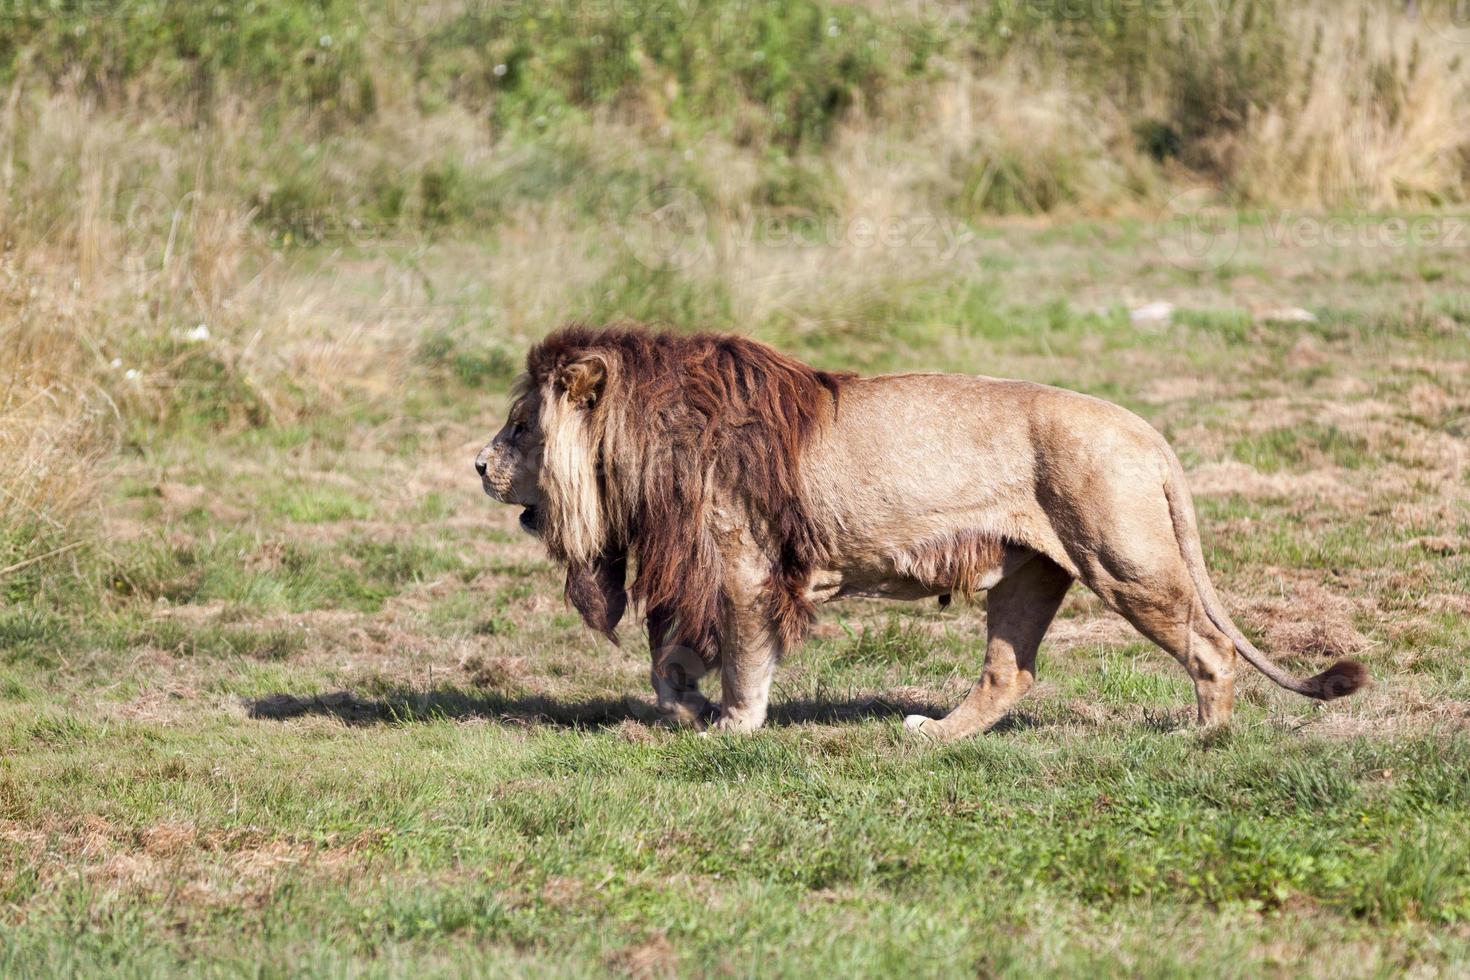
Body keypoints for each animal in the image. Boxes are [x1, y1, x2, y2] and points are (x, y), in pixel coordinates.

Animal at [479, 326, 1364, 740]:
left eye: (521, 427)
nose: (478, 465)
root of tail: (1149, 433)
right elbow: (668, 664)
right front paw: (689, 708)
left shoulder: (745, 567)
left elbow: (743, 659)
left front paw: (732, 724)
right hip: (1030, 575)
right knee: (1011, 674)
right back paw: (935, 736)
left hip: (1125, 561)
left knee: (1210, 648)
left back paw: (1205, 737)